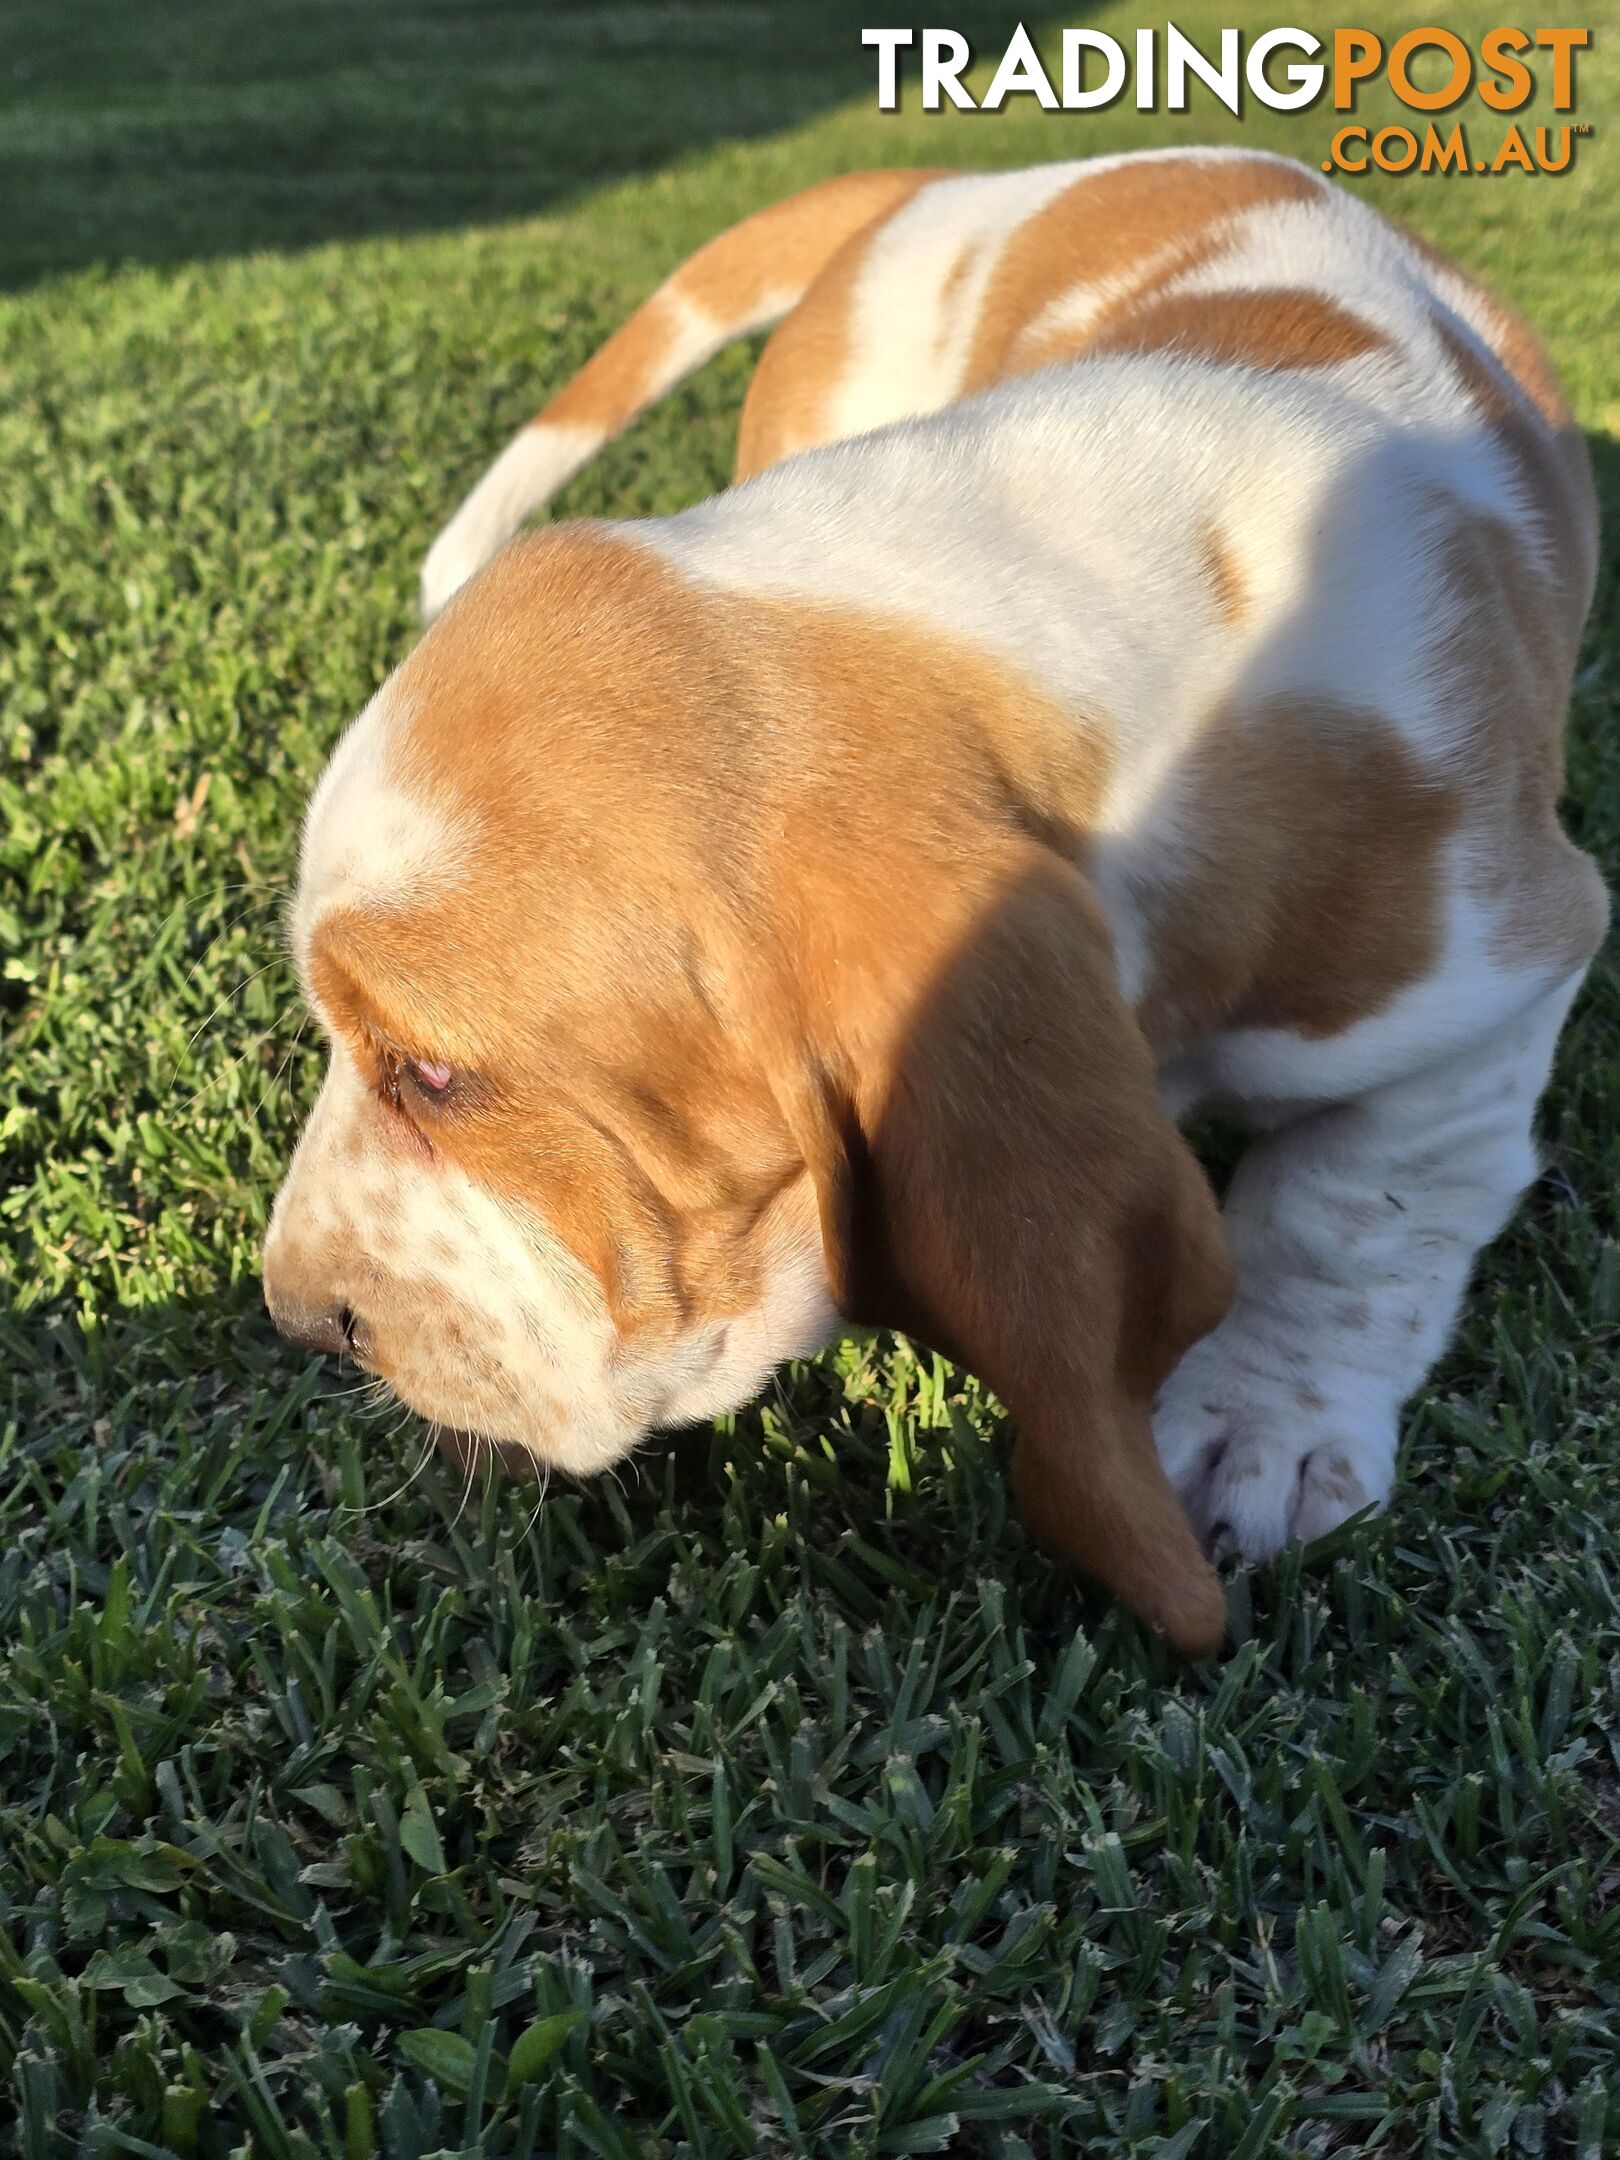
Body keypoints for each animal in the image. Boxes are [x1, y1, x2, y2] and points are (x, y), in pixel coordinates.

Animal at [260, 152, 1607, 1658]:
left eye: (436, 1076)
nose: (298, 1317)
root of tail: (960, 175)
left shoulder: (1494, 973)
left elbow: (1355, 1211)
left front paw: (1265, 1430)